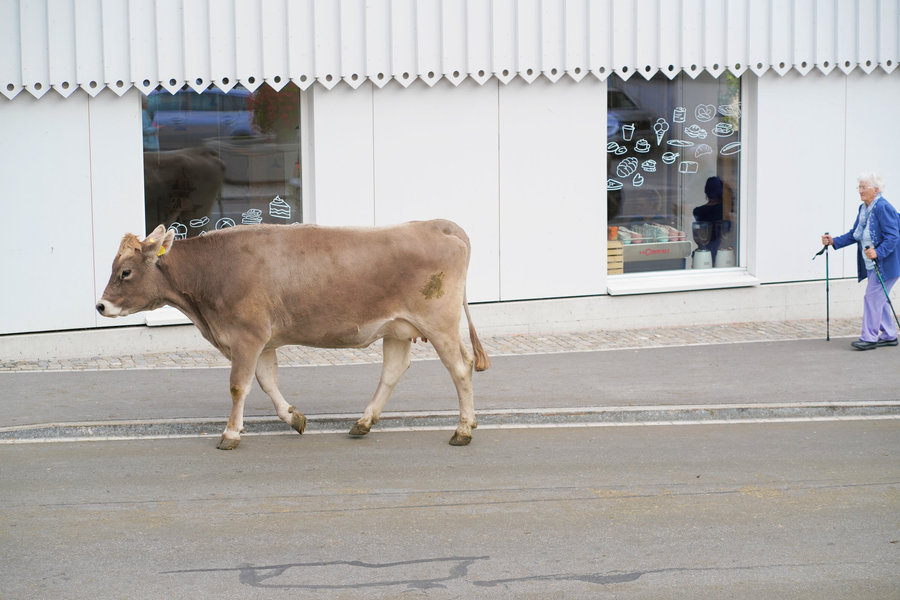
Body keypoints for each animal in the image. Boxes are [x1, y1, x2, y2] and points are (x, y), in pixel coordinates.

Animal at [96, 220, 491, 449]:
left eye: (125, 272)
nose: (100, 306)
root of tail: (436, 225)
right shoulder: (262, 340)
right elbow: (267, 382)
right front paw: (293, 417)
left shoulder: (247, 336)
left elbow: (238, 386)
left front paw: (230, 434)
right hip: (397, 328)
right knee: (394, 371)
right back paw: (364, 423)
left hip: (438, 322)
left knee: (459, 368)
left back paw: (463, 430)